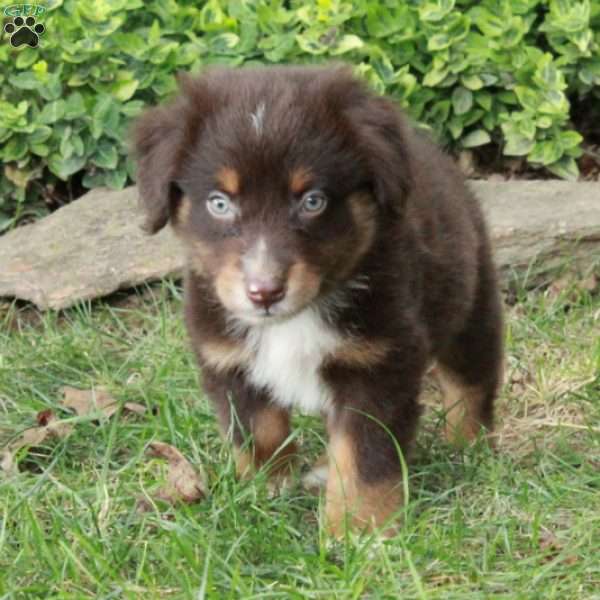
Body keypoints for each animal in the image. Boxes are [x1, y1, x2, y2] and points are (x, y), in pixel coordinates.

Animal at [134, 64, 504, 536]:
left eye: (313, 201)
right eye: (219, 203)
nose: (264, 291)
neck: (295, 319)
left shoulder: (378, 365)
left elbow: (363, 456)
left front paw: (358, 531)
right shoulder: (228, 360)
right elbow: (259, 430)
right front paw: (266, 491)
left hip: (470, 305)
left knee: (471, 381)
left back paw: (468, 445)